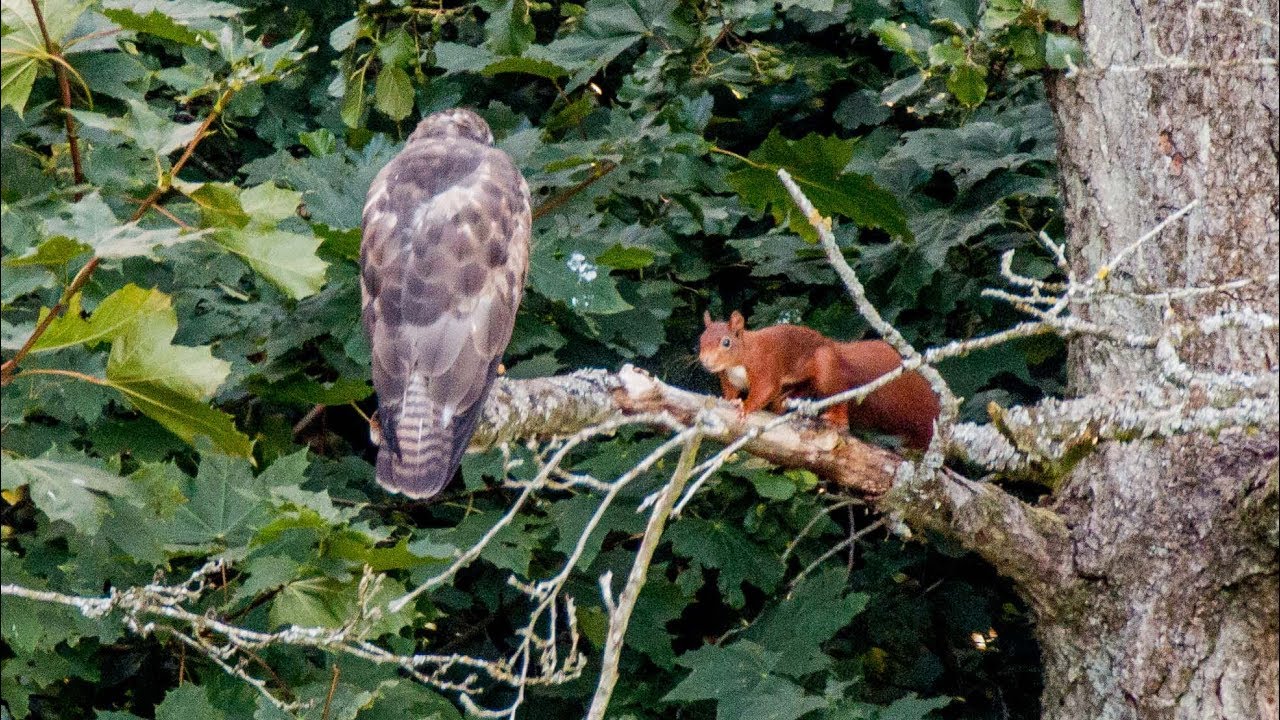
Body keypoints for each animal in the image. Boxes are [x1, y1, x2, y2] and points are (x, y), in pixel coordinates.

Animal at [697, 310, 939, 449]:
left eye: (726, 342)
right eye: (701, 339)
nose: (705, 361)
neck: (740, 358)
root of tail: (837, 352)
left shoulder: (765, 365)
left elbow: (764, 389)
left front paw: (745, 407)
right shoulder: (727, 378)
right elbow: (730, 391)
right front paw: (727, 400)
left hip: (826, 369)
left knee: (839, 394)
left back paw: (836, 418)